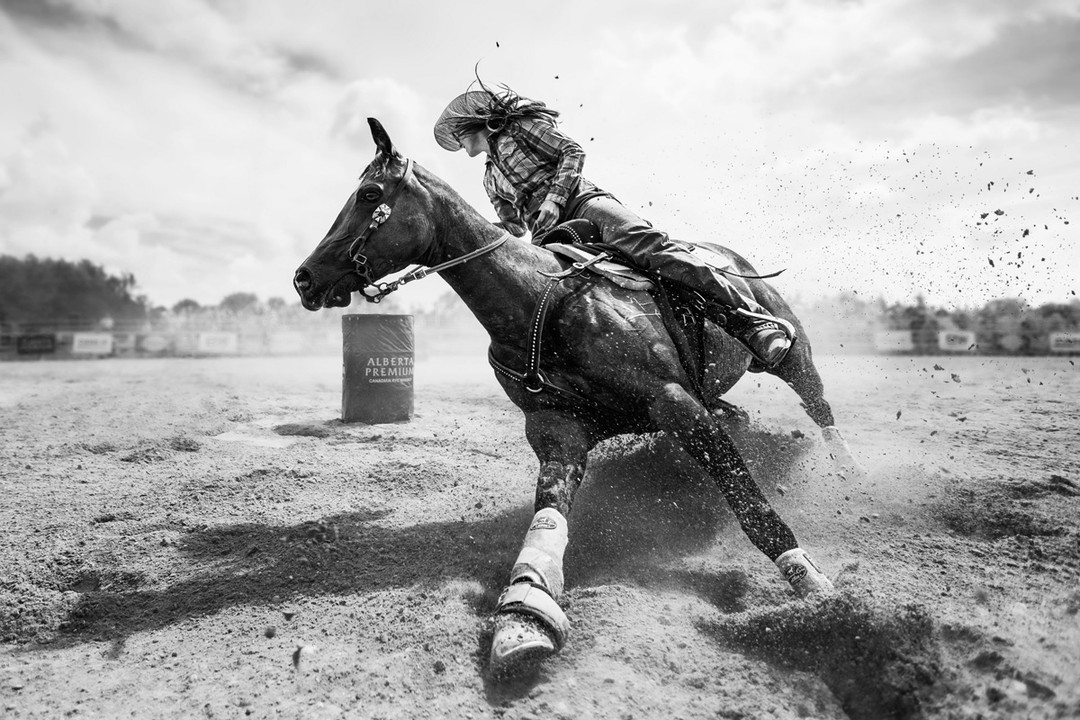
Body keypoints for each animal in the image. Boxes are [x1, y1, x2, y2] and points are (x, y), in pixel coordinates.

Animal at [295, 117, 859, 677]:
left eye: (370, 193)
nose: (304, 278)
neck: (537, 302)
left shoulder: (676, 405)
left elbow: (752, 507)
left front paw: (818, 593)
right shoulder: (555, 429)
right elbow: (548, 517)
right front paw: (525, 614)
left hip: (793, 355)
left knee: (817, 404)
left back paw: (848, 470)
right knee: (745, 413)